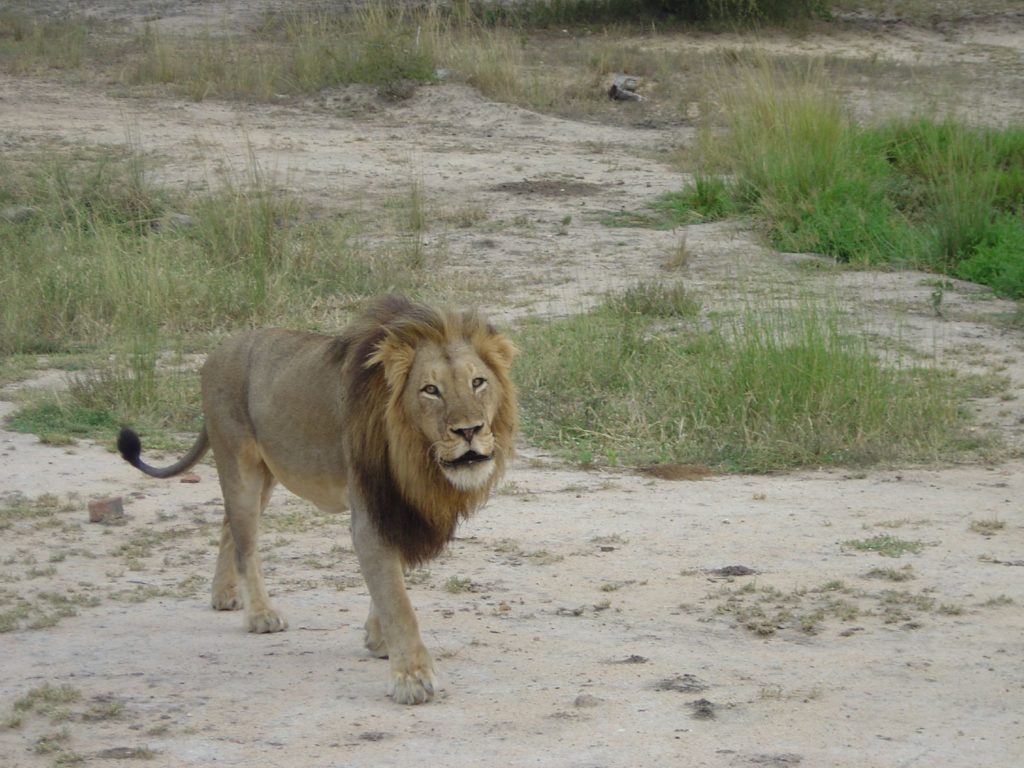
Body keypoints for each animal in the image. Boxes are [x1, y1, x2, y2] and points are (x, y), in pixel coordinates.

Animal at [117, 294, 516, 704]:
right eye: (430, 390)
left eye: (478, 382)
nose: (469, 431)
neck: (415, 454)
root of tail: (217, 352)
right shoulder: (370, 511)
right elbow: (397, 601)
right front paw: (412, 678)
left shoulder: (395, 507)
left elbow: (389, 586)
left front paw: (378, 640)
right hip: (239, 465)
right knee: (245, 543)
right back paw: (260, 614)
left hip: (266, 475)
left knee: (228, 526)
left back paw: (224, 594)